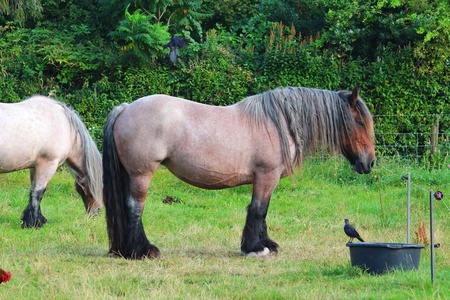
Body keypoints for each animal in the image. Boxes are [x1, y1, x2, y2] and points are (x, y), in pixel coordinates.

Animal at [0, 95, 103, 227]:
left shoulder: (35, 166)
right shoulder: (48, 164)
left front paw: (30, 220)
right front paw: (35, 223)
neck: (66, 127)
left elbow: (33, 191)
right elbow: (38, 193)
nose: (97, 212)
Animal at [103, 85, 374, 258]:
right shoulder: (266, 176)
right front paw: (255, 248)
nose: (370, 162)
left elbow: (262, 212)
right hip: (141, 174)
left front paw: (266, 244)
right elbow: (258, 210)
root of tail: (125, 108)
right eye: (359, 121)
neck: (279, 123)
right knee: (134, 208)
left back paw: (124, 250)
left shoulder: (267, 179)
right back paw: (142, 250)